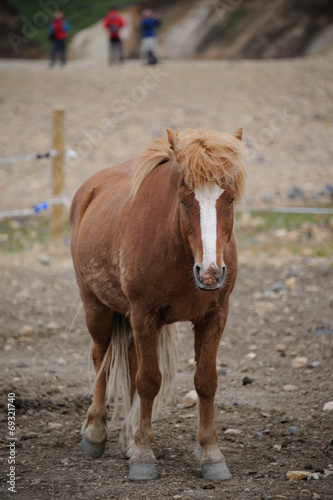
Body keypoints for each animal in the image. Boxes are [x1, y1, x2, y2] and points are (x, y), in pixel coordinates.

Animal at [70, 127, 245, 482]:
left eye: (230, 198)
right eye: (184, 200)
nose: (210, 273)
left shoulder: (215, 316)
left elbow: (206, 382)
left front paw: (212, 455)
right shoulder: (144, 314)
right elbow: (149, 381)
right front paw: (143, 457)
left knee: (130, 360)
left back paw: (127, 436)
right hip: (96, 308)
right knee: (101, 359)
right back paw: (95, 433)